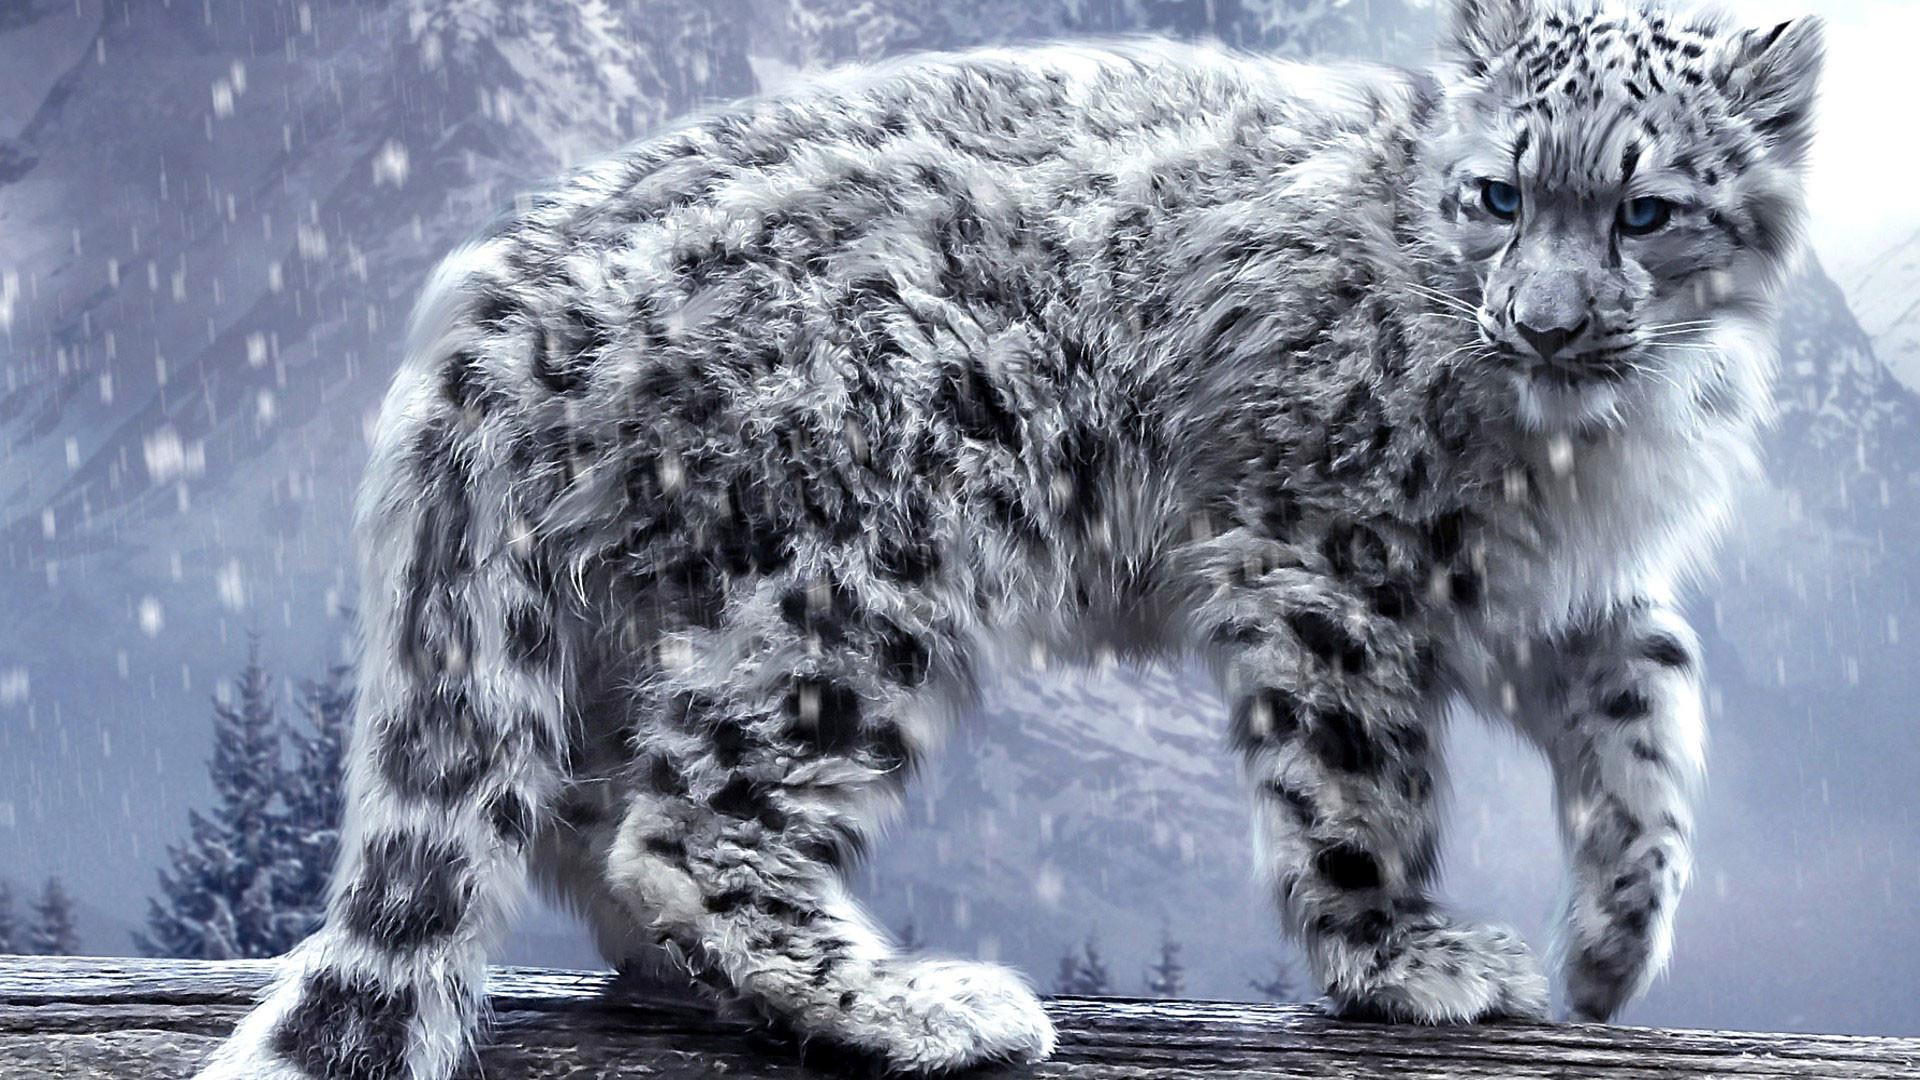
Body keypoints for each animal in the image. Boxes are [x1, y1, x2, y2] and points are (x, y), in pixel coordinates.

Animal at [197, 1, 1821, 1076]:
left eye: (1646, 210)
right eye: (1498, 195)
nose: (1543, 322)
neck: (1589, 447)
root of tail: (503, 297)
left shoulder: (1557, 589)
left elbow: (1651, 705)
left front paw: (1614, 946)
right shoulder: (1330, 555)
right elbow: (1361, 773)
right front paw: (1411, 958)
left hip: (638, 604)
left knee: (579, 806)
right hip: (867, 565)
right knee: (687, 814)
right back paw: (922, 1004)